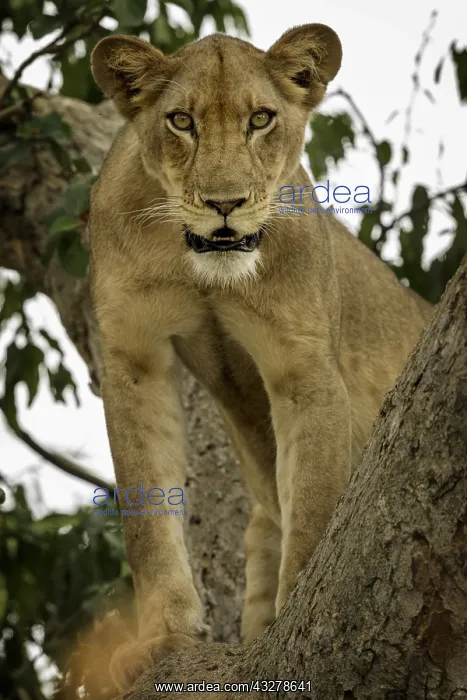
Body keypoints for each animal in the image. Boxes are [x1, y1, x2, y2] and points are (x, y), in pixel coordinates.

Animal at [89, 24, 432, 690]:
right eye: (181, 121)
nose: (225, 204)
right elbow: (147, 514)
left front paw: (299, 614)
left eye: (260, 119)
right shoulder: (133, 360)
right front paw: (161, 638)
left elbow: (314, 504)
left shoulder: (304, 367)